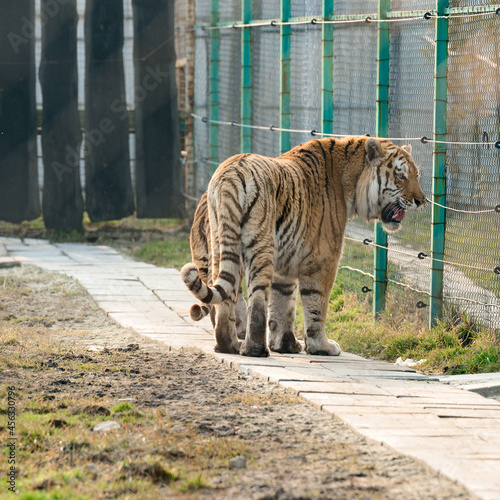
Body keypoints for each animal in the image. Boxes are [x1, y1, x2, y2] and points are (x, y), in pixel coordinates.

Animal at [182, 135, 424, 358]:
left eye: (416, 175)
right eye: (401, 176)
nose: (421, 201)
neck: (351, 181)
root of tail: (231, 173)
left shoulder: (285, 264)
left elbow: (283, 305)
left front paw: (286, 345)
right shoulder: (323, 259)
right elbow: (316, 304)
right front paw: (321, 346)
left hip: (221, 244)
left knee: (226, 296)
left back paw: (229, 346)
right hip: (260, 246)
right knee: (257, 300)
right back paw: (255, 350)